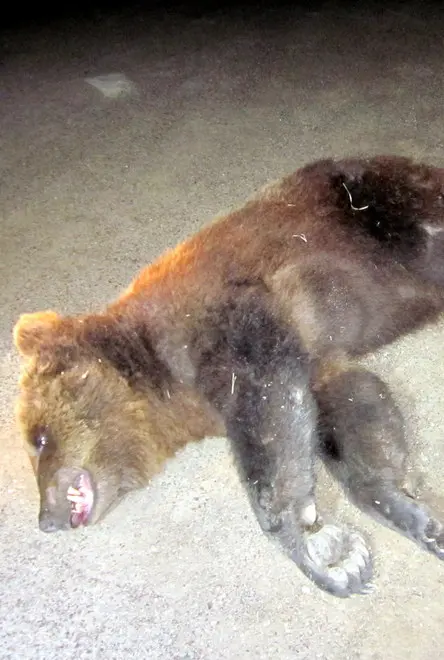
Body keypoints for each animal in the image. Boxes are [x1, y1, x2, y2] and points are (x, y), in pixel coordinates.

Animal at [13, 154, 444, 599]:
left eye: (38, 439)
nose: (46, 519)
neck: (159, 384)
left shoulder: (232, 322)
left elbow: (269, 418)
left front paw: (312, 547)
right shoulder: (315, 360)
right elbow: (353, 407)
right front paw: (391, 522)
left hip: (383, 210)